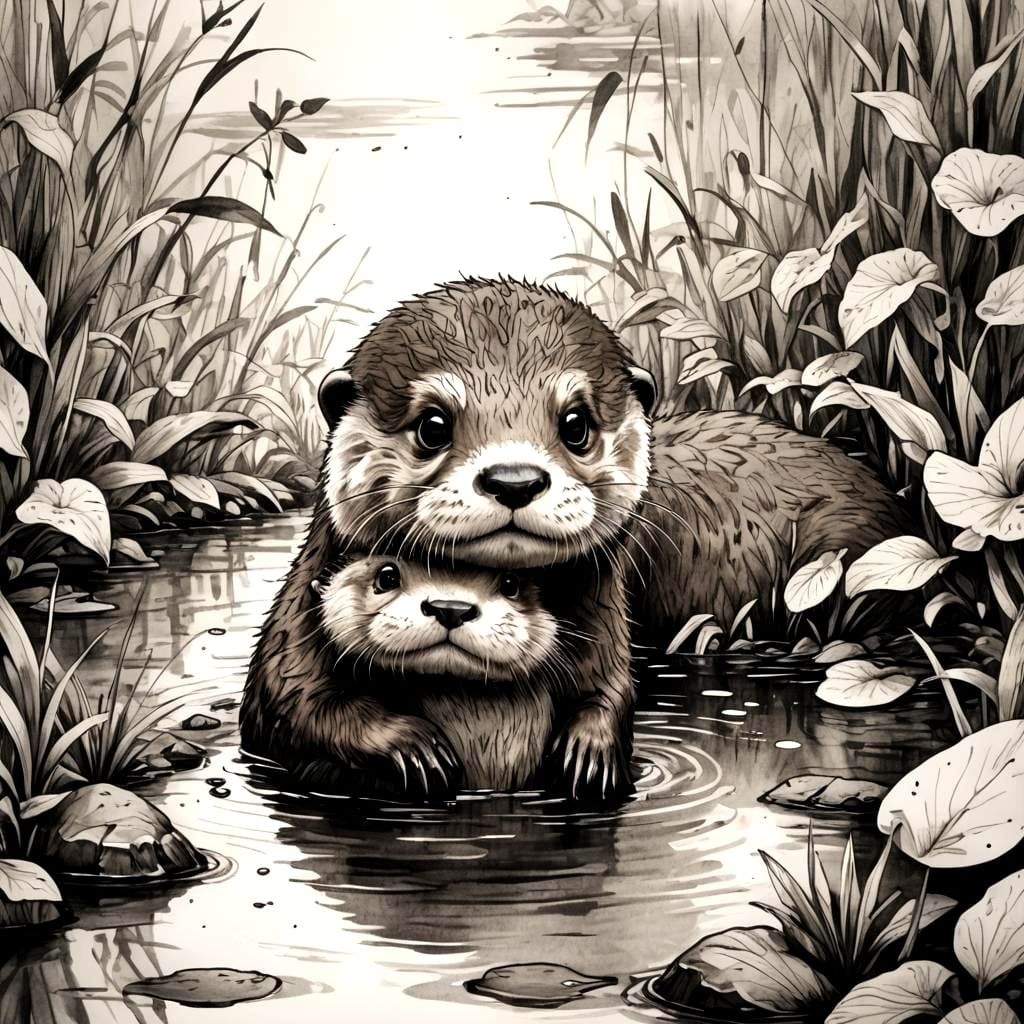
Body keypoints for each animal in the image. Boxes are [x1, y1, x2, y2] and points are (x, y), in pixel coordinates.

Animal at [242, 552, 630, 797]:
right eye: (387, 575)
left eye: (510, 583)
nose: (451, 607)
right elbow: (313, 707)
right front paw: (414, 745)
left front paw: (588, 751)